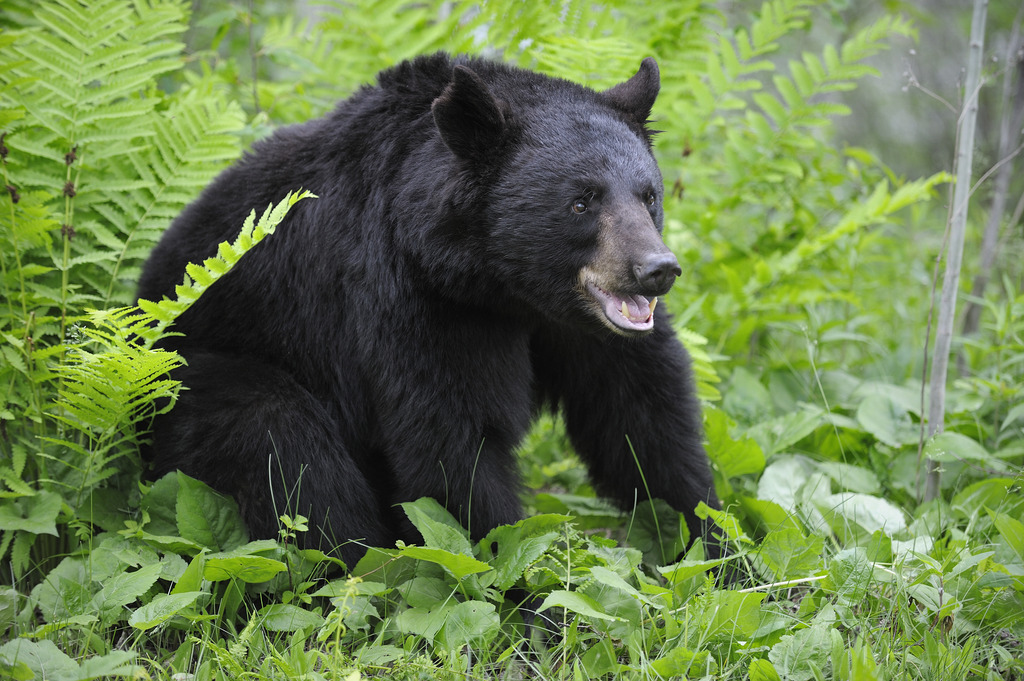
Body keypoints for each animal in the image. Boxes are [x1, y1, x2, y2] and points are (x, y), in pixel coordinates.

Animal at [140, 53, 724, 565]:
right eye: (582, 201)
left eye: (648, 196)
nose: (657, 268)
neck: (504, 287)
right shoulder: (415, 302)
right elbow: (451, 446)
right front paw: (528, 594)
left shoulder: (581, 326)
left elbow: (641, 418)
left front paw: (714, 547)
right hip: (195, 379)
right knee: (283, 444)